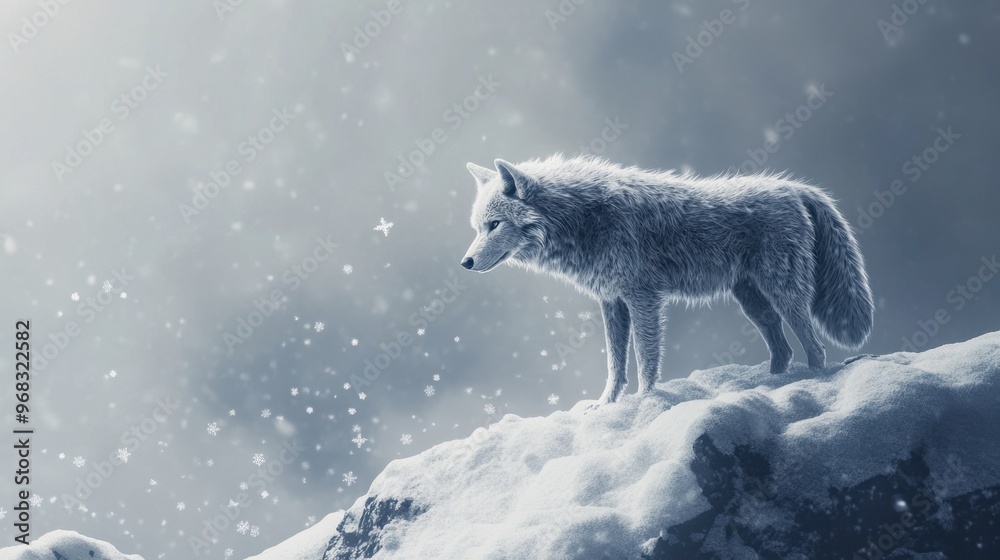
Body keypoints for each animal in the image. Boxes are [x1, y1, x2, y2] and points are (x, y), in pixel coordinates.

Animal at [461, 156, 874, 406]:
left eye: (495, 225)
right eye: (478, 228)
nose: (465, 262)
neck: (584, 217)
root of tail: (796, 188)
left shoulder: (643, 297)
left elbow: (645, 358)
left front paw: (646, 403)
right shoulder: (612, 301)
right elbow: (614, 363)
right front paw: (605, 406)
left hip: (783, 293)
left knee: (814, 346)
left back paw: (814, 383)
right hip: (751, 299)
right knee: (783, 348)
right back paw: (772, 385)